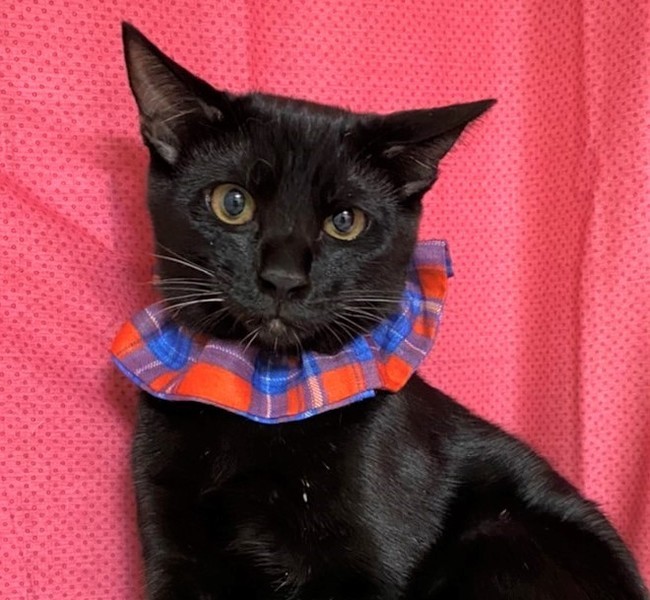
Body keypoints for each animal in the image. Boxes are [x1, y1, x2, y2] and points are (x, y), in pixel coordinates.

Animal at [119, 22, 648, 599]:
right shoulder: (174, 556)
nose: (283, 279)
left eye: (345, 222)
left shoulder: (365, 565)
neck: (267, 394)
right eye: (232, 202)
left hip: (501, 535)